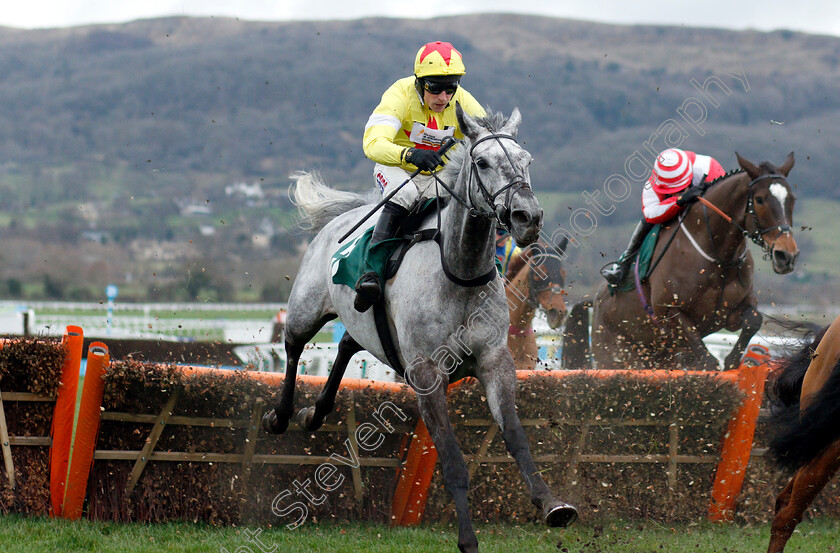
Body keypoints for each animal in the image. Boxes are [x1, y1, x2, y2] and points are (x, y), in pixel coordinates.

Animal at [564, 153, 800, 370]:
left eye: (792, 199)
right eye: (759, 199)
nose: (786, 255)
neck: (718, 256)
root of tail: (595, 302)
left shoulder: (732, 312)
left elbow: (754, 319)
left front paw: (732, 361)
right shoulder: (670, 312)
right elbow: (707, 360)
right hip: (618, 357)